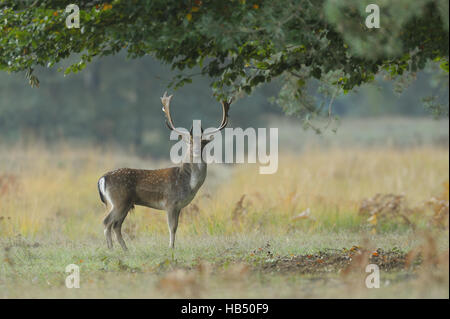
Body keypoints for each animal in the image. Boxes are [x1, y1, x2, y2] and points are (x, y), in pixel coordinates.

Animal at [98, 92, 232, 252]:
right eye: (190, 143)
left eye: (203, 144)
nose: (195, 151)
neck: (188, 183)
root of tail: (102, 179)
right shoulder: (170, 202)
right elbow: (172, 227)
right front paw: (171, 248)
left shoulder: (179, 206)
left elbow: (176, 227)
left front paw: (172, 247)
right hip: (119, 201)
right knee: (107, 222)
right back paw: (111, 249)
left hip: (125, 204)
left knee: (116, 225)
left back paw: (126, 250)